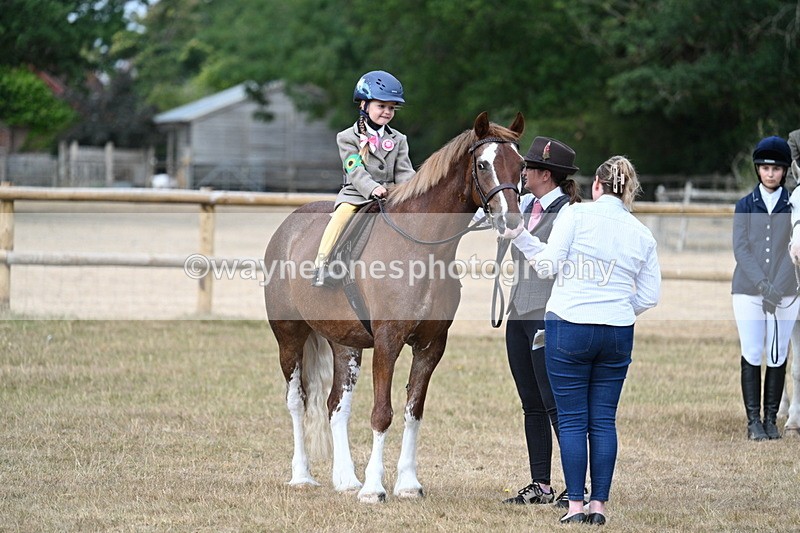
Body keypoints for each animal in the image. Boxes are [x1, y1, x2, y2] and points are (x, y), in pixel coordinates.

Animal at [263, 111, 525, 502]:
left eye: (521, 166)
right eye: (483, 164)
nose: (512, 222)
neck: (423, 249)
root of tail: (287, 227)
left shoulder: (431, 346)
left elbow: (413, 411)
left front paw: (407, 484)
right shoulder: (388, 341)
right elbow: (382, 413)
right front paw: (374, 488)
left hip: (345, 345)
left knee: (336, 406)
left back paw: (346, 479)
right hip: (289, 337)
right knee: (297, 401)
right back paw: (303, 476)